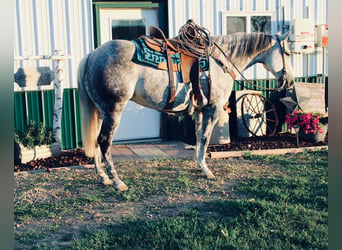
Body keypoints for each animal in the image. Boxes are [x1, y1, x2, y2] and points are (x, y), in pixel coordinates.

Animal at [77, 31, 294, 191]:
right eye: (288, 53)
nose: (289, 81)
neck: (221, 61)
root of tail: (92, 55)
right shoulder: (213, 109)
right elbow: (205, 138)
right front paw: (206, 170)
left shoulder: (200, 110)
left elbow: (198, 137)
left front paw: (199, 165)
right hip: (113, 111)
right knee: (104, 141)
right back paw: (117, 181)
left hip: (101, 112)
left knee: (96, 141)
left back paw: (102, 176)